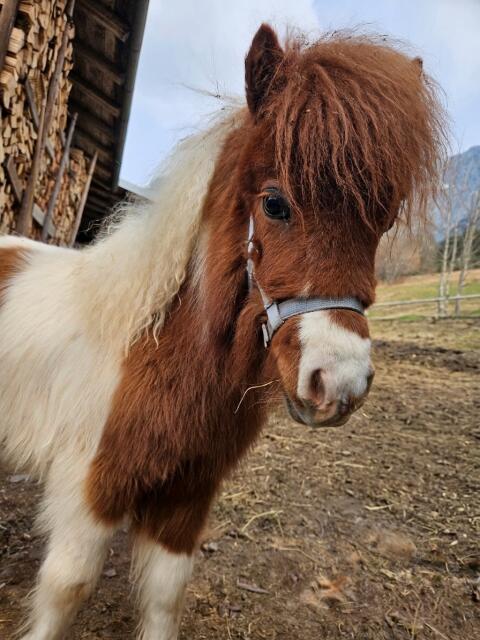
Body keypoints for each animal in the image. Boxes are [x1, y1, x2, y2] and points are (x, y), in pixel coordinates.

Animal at [0, 24, 446, 640]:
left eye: (384, 218)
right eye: (275, 204)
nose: (340, 384)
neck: (152, 350)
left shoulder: (188, 497)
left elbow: (164, 598)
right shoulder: (91, 489)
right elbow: (67, 588)